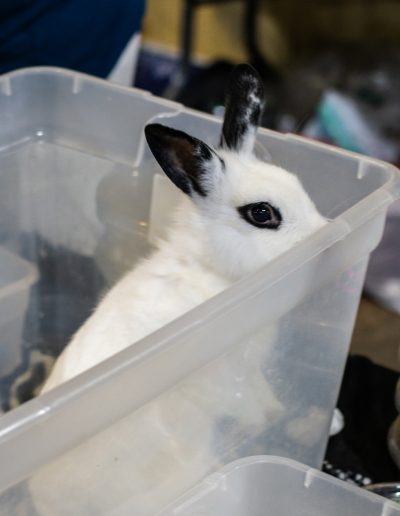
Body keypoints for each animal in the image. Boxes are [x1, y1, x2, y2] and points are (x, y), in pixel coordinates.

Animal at [27, 65, 328, 516]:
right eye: (262, 213)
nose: (323, 232)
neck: (213, 272)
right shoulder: (225, 381)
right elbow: (246, 405)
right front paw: (265, 421)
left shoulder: (252, 372)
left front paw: (277, 411)